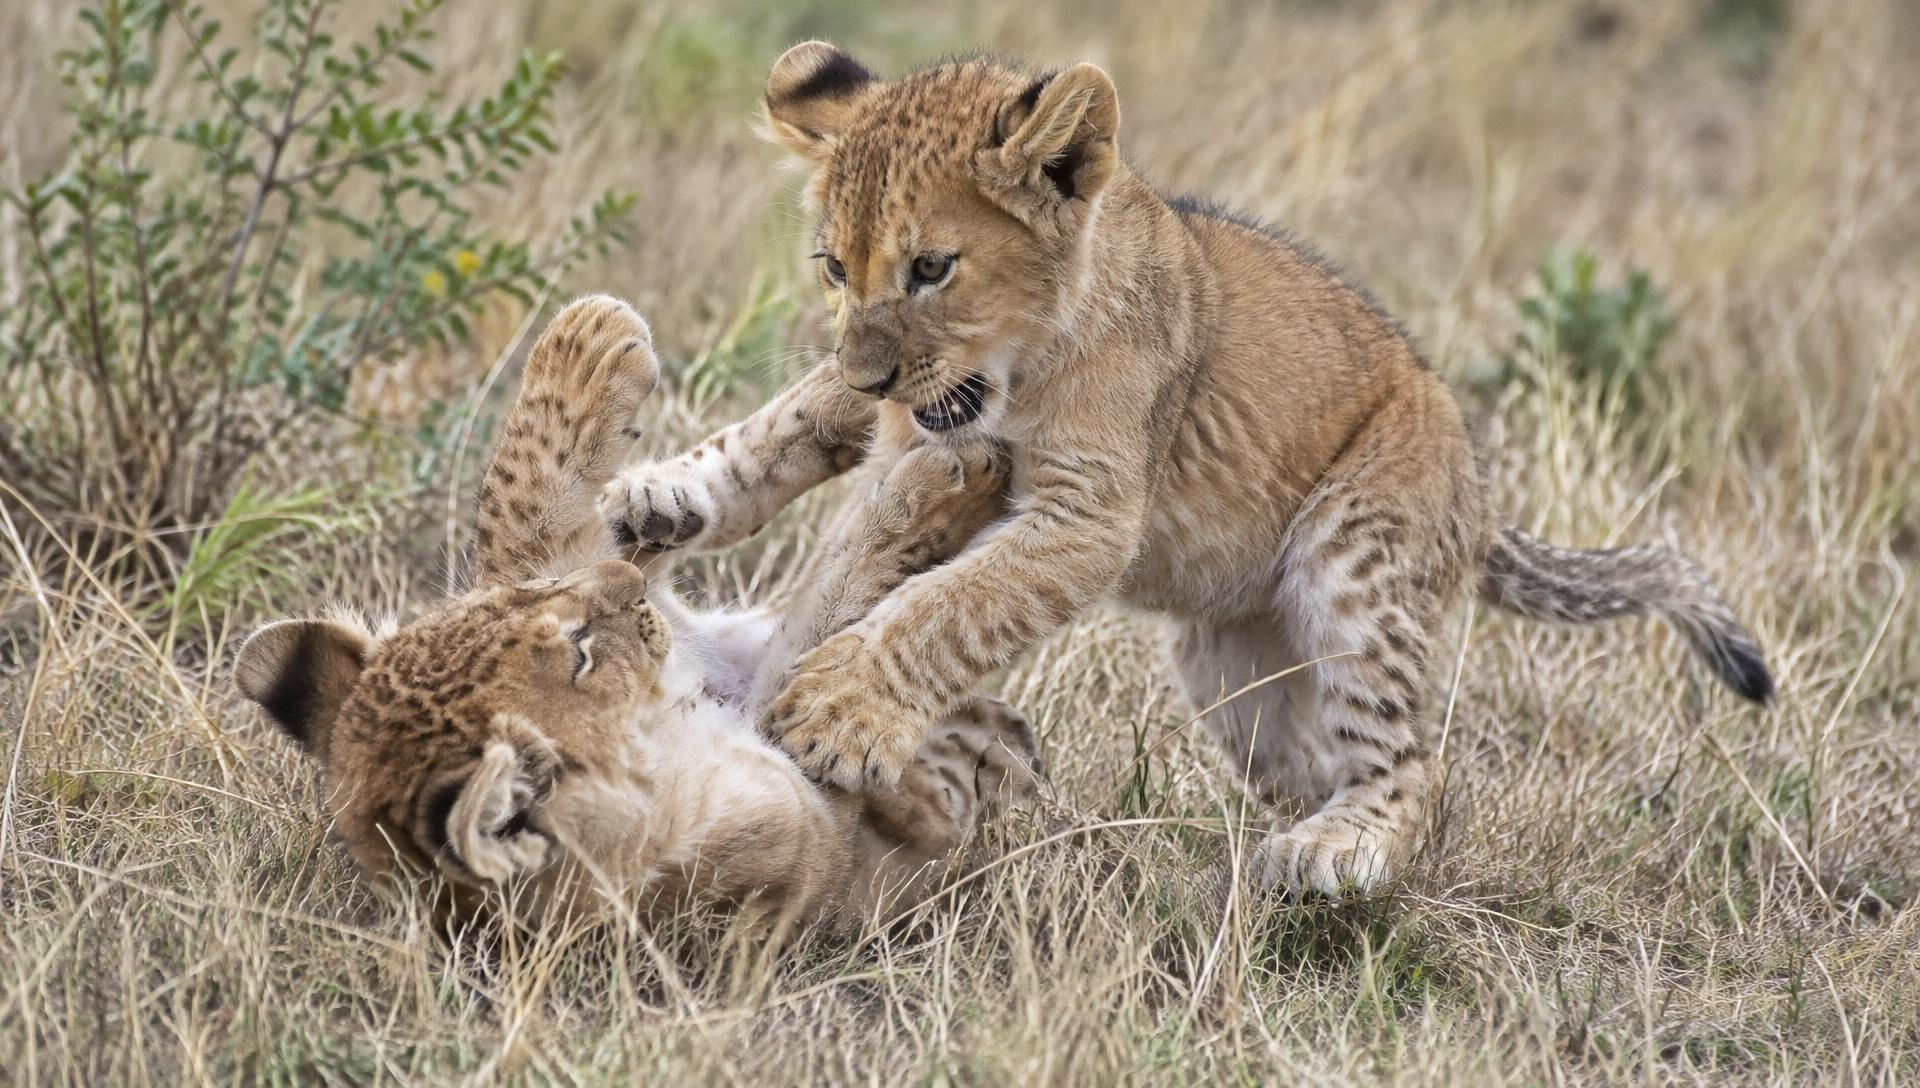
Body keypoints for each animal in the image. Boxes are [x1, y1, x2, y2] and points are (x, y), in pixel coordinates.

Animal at [232, 295, 1039, 932]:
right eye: (581, 655)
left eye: (523, 600)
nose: (623, 585)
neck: (658, 724)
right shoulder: (807, 819)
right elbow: (830, 627)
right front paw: (938, 487)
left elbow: (516, 505)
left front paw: (588, 334)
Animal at [603, 46, 1772, 896]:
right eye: (834, 266)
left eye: (932, 266)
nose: (875, 367)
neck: (1016, 363)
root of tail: (1477, 490)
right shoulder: (902, 409)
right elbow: (796, 417)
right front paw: (666, 495)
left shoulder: (1087, 515)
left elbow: (951, 604)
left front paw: (838, 707)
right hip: (1233, 678)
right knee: (1333, 761)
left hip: (1358, 555)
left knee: (1417, 764)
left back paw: (1339, 853)